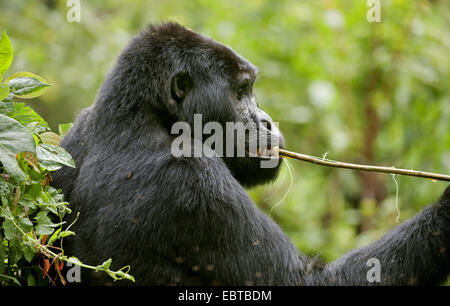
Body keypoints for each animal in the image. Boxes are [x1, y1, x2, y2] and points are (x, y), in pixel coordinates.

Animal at [52, 22, 450, 286]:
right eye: (242, 91)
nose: (267, 121)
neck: (143, 114)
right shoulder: (194, 179)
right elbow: (307, 282)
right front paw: (446, 212)